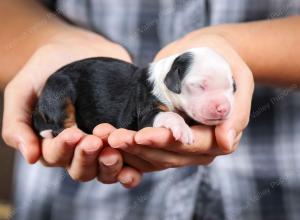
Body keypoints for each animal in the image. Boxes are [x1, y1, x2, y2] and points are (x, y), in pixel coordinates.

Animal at [32, 46, 234, 144]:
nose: (223, 109)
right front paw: (182, 129)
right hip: (59, 90)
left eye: (233, 87)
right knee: (62, 125)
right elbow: (169, 115)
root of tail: (39, 104)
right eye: (200, 86)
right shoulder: (146, 111)